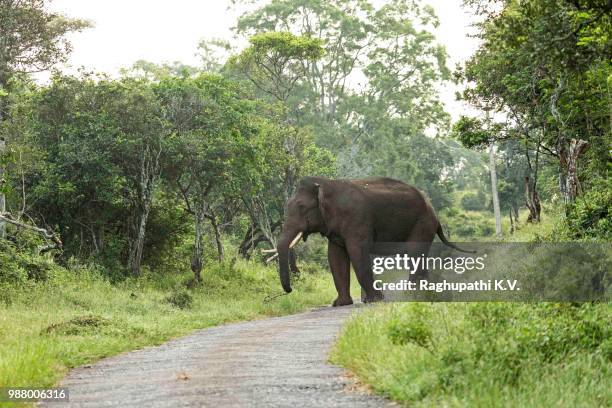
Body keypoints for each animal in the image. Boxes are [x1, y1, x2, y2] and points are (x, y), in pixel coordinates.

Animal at [274, 175, 470, 306]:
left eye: (301, 207)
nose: (289, 290)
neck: (326, 184)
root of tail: (433, 210)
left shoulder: (356, 219)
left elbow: (357, 253)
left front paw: (374, 300)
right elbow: (335, 257)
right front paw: (340, 304)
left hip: (422, 224)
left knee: (415, 253)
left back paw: (413, 295)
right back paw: (423, 293)